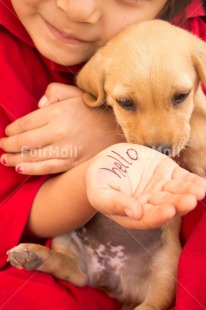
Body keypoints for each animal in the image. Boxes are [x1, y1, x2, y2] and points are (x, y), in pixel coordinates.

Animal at [7, 20, 206, 310]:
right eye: (125, 103)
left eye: (181, 96)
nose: (160, 150)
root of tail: (115, 281)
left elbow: (197, 121)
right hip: (67, 238)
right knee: (76, 273)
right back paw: (35, 256)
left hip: (167, 270)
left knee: (151, 303)